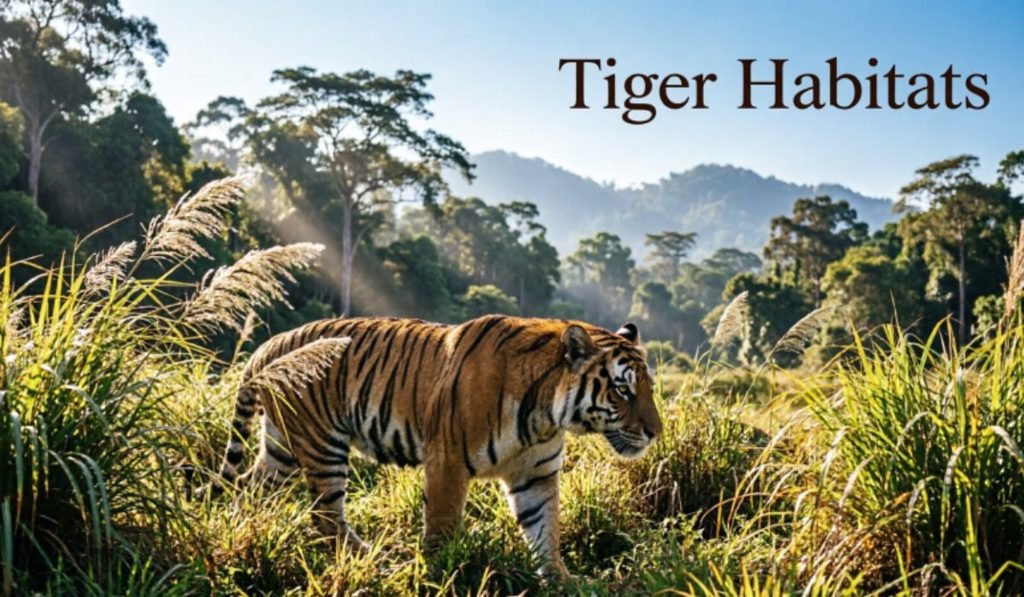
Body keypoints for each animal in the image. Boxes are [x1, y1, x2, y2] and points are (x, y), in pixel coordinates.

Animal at [208, 314, 663, 577]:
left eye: (649, 388)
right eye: (623, 390)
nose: (656, 432)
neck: (545, 415)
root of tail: (270, 345)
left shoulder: (536, 474)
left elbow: (545, 530)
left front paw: (560, 581)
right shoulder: (448, 462)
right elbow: (443, 528)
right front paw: (440, 574)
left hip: (282, 447)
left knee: (248, 487)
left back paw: (243, 529)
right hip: (323, 446)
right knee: (325, 518)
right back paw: (377, 564)